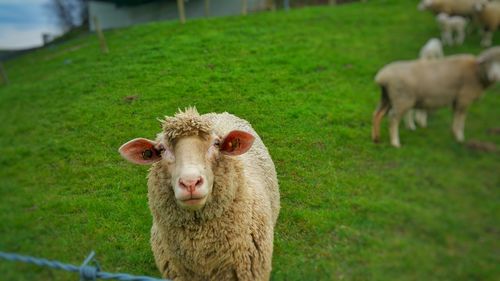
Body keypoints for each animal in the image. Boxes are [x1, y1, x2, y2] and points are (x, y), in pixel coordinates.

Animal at [370, 46, 500, 147]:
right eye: (489, 62)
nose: (495, 76)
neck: (477, 73)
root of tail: (382, 77)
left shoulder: (457, 100)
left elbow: (455, 116)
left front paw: (453, 133)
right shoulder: (464, 98)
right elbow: (461, 118)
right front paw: (459, 137)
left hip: (387, 97)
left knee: (377, 114)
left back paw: (376, 138)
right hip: (402, 99)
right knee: (393, 119)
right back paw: (395, 143)